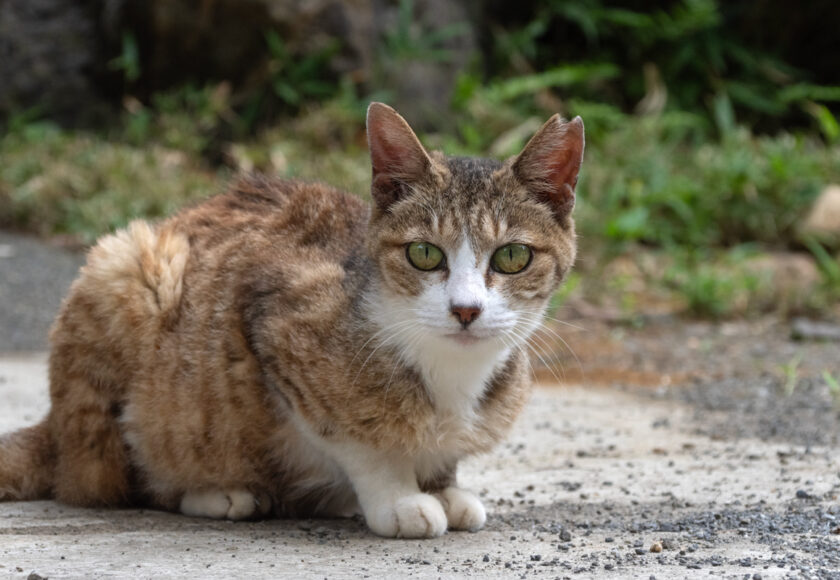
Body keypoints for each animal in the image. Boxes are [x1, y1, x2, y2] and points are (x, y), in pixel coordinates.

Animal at [0, 101, 584, 540]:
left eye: (512, 257)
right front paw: (399, 496)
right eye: (423, 254)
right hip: (126, 271)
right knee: (119, 482)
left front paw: (442, 484)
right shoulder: (277, 324)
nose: (466, 309)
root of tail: (54, 430)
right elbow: (356, 437)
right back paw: (218, 493)